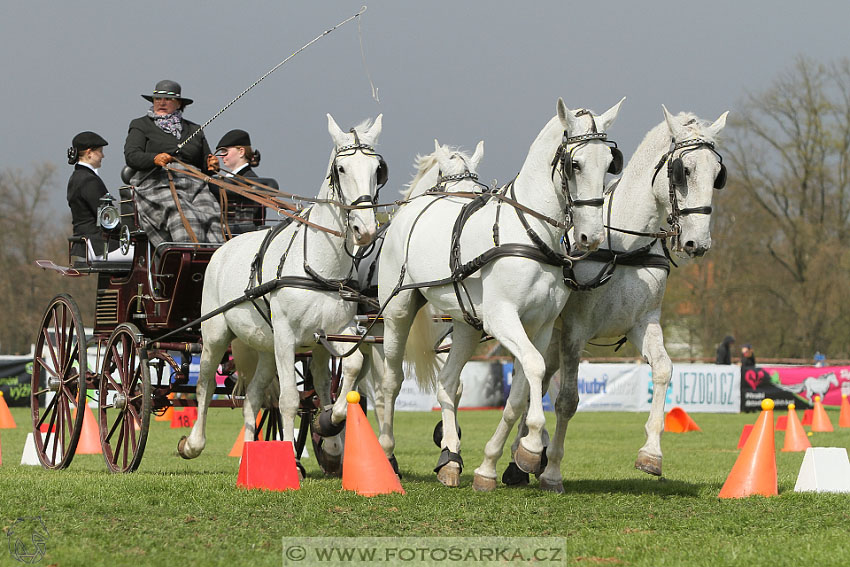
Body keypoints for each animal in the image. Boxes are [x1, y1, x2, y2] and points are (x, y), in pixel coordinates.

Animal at [179, 114, 384, 470]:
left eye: (377, 169)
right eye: (341, 169)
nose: (366, 229)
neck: (318, 265)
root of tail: (221, 249)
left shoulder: (336, 331)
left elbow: (350, 370)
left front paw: (329, 426)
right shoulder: (287, 336)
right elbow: (289, 398)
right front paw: (291, 457)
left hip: (264, 347)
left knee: (252, 398)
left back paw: (249, 457)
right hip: (216, 333)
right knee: (204, 383)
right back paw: (193, 443)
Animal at [378, 98, 624, 488]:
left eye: (609, 162)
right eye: (575, 164)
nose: (592, 237)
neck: (530, 233)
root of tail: (409, 210)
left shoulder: (539, 327)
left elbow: (521, 392)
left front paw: (497, 462)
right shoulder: (502, 318)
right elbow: (535, 370)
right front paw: (532, 446)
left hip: (466, 323)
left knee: (448, 383)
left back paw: (450, 460)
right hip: (398, 312)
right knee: (390, 382)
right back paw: (387, 454)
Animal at [490, 107, 728, 492]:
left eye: (717, 174)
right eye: (684, 171)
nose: (698, 242)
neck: (624, 246)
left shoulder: (643, 323)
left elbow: (664, 370)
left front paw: (651, 454)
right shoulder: (576, 330)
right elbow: (567, 401)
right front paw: (553, 472)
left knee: (534, 380)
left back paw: (521, 457)